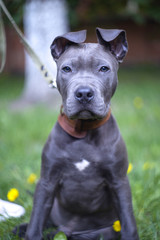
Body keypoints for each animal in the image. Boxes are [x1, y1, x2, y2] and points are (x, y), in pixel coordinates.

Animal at [15, 27, 140, 240]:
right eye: (67, 69)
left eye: (104, 68)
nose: (83, 93)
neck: (84, 131)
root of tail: (68, 229)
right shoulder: (47, 182)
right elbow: (36, 220)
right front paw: (30, 232)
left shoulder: (119, 181)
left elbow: (128, 222)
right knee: (45, 221)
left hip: (102, 231)